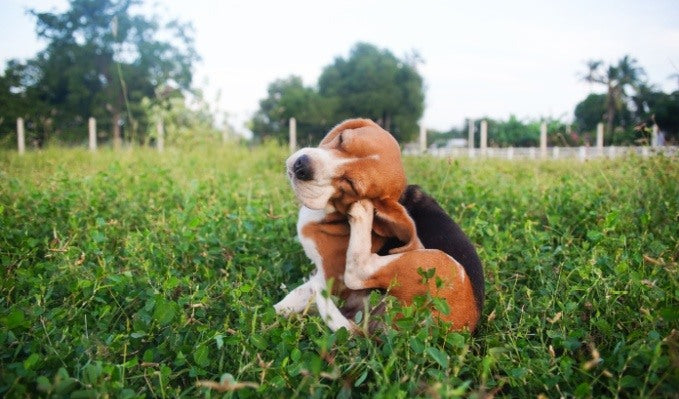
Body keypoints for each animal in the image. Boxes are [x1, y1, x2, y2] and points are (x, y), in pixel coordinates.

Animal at [272, 119, 484, 334]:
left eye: (350, 184)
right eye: (342, 139)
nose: (302, 166)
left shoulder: (333, 278)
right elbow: (297, 294)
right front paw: (276, 314)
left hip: (436, 263)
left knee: (358, 272)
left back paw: (363, 213)